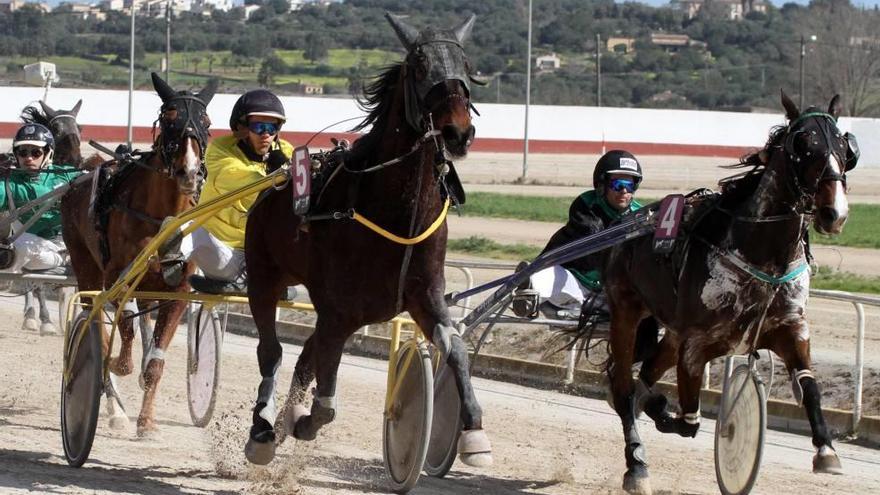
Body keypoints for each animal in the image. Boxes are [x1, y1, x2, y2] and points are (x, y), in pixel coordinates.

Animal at [60, 73, 217, 438]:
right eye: (170, 118)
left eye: (205, 122)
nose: (190, 172)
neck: (162, 217)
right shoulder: (117, 278)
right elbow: (124, 332)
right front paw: (120, 365)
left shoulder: (178, 290)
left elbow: (155, 362)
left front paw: (147, 421)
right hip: (84, 264)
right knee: (99, 328)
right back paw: (115, 407)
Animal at [241, 11, 496, 468]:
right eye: (419, 67)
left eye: (465, 67)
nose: (457, 132)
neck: (395, 212)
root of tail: (274, 183)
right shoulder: (338, 310)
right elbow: (326, 403)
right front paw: (301, 422)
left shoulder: (423, 294)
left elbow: (456, 348)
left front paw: (474, 433)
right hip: (264, 276)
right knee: (272, 351)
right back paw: (264, 430)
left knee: (306, 354)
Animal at [600, 92, 852, 492]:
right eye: (803, 145)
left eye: (845, 146)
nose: (834, 212)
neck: (764, 258)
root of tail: (630, 222)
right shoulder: (696, 344)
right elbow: (688, 421)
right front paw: (663, 412)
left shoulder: (791, 328)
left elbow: (810, 387)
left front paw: (826, 451)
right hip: (625, 310)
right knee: (624, 386)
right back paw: (636, 464)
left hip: (672, 330)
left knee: (646, 372)